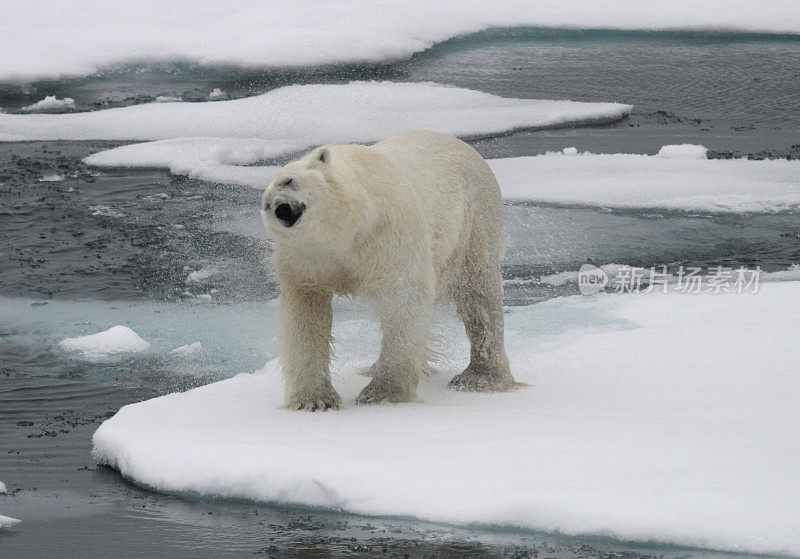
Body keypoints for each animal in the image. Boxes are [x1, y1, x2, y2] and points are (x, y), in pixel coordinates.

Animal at [260, 131, 516, 412]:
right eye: (265, 204)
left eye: (288, 180)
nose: (281, 208)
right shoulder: (306, 258)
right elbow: (306, 312)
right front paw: (315, 400)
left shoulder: (389, 233)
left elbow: (404, 296)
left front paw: (382, 393)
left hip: (475, 219)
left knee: (478, 293)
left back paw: (479, 378)